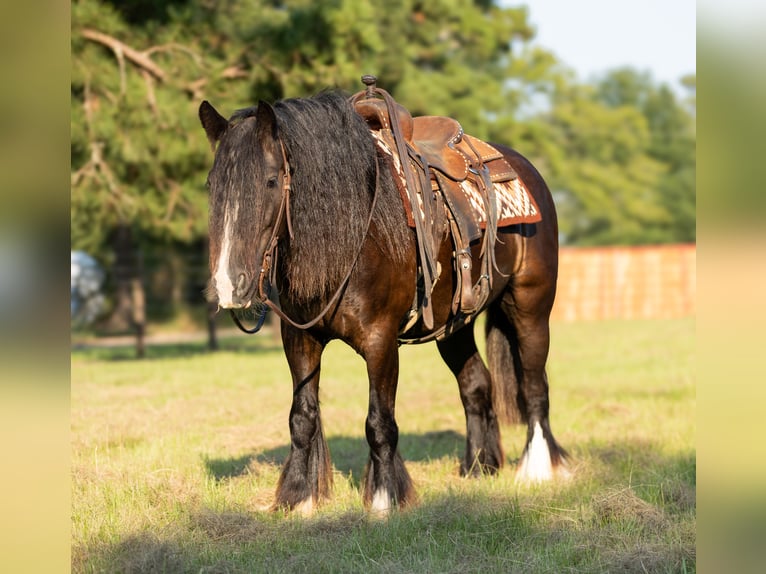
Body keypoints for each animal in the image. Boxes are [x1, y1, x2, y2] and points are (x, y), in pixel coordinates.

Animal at [198, 91, 568, 516]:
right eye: (212, 185)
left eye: (271, 180)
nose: (229, 284)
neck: (356, 230)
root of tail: (523, 168)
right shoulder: (300, 340)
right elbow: (302, 418)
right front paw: (299, 498)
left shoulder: (381, 342)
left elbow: (379, 422)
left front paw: (384, 498)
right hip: (454, 328)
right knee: (476, 385)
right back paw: (478, 467)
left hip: (530, 308)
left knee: (534, 385)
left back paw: (538, 468)